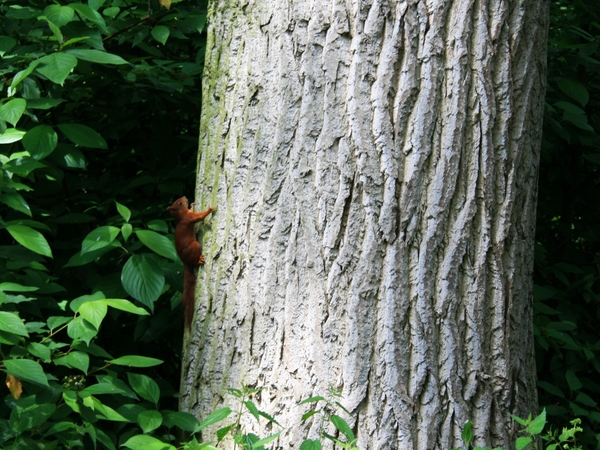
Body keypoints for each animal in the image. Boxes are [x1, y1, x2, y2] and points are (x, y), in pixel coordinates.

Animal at [166, 195, 213, 328]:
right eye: (180, 203)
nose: (185, 197)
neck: (182, 216)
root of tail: (185, 262)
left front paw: (192, 206)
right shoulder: (190, 218)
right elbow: (199, 216)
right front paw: (209, 210)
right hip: (194, 246)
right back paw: (199, 260)